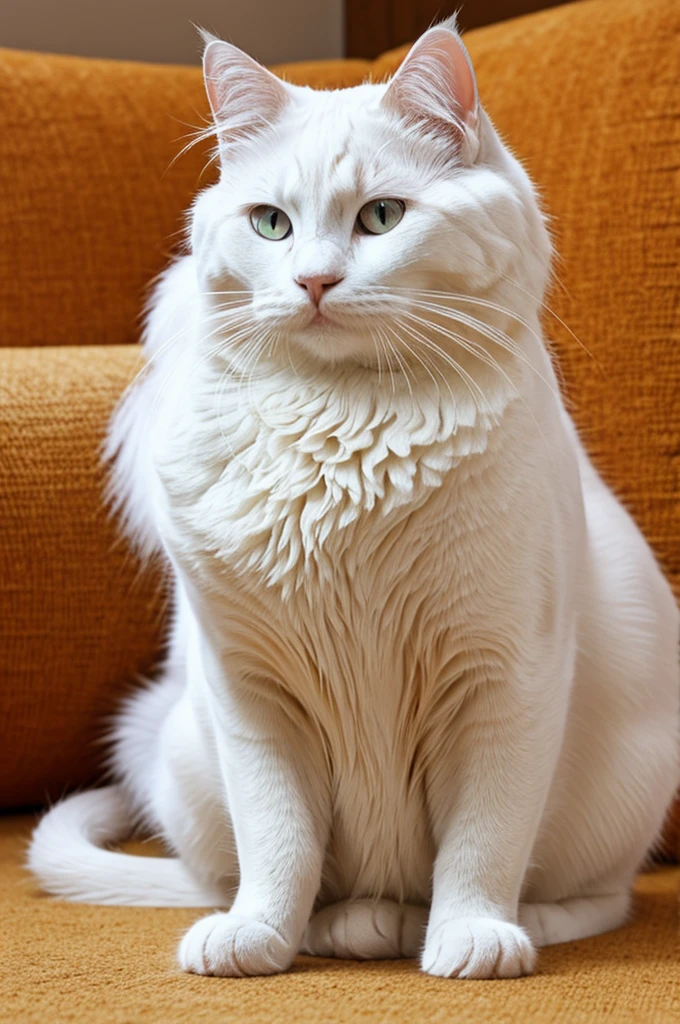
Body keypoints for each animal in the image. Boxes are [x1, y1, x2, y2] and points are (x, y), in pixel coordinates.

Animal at [27, 16, 680, 974]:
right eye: (271, 224)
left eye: (382, 217)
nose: (312, 281)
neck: (345, 436)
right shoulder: (252, 692)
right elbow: (278, 841)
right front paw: (259, 936)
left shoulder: (506, 675)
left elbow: (484, 838)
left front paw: (471, 937)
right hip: (188, 749)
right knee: (256, 879)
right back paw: (343, 926)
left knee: (597, 896)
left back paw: (491, 925)